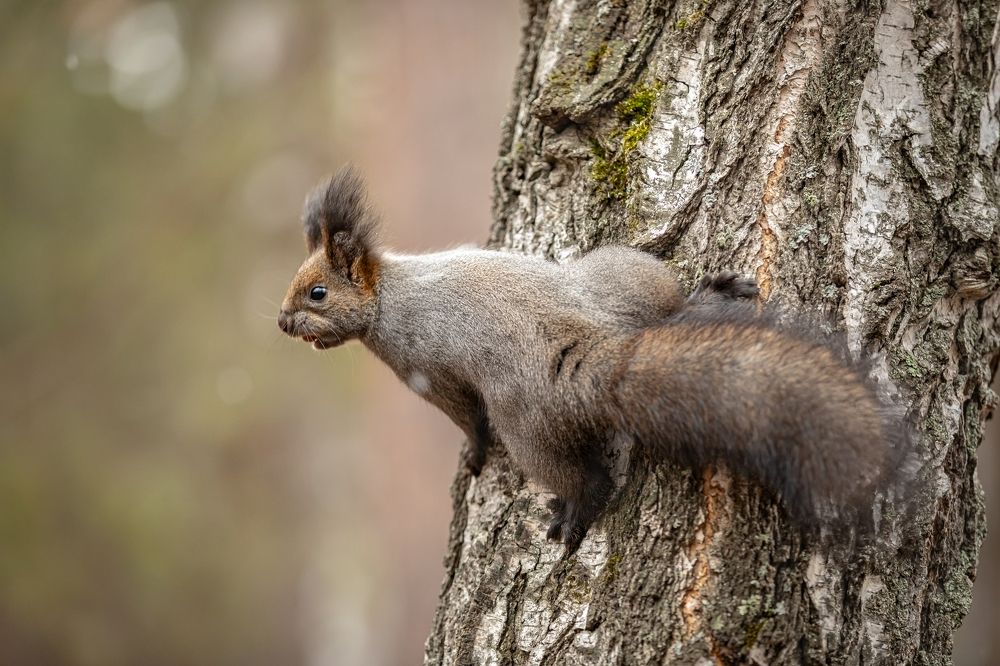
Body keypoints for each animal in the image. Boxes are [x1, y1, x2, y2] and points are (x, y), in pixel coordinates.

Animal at [278, 167, 911, 552]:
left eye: (318, 294)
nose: (282, 322)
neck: (387, 293)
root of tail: (591, 350)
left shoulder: (423, 371)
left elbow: (466, 418)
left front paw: (473, 455)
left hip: (531, 428)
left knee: (590, 479)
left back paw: (575, 510)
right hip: (623, 277)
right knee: (670, 313)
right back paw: (712, 297)